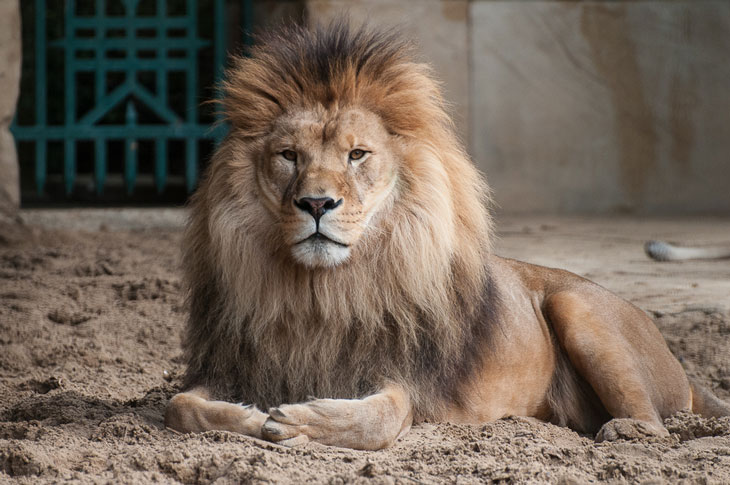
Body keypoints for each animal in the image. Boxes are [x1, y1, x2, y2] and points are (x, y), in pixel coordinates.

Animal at [165, 21, 728, 446]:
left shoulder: (403, 380)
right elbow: (179, 407)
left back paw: (625, 431)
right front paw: (249, 415)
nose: (317, 204)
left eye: (357, 154)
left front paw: (299, 420)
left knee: (657, 427)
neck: (321, 293)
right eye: (288, 155)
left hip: (579, 307)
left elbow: (379, 419)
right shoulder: (230, 365)